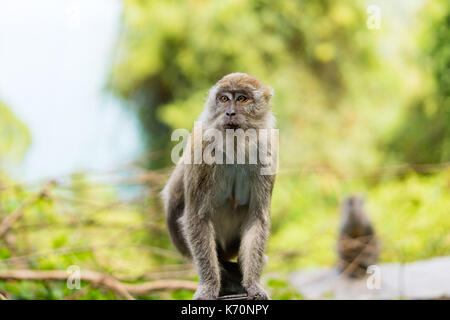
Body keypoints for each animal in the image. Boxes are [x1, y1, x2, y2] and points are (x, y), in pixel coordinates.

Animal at [160, 72, 276, 300]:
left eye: (242, 99)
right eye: (224, 98)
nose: (230, 112)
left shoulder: (266, 150)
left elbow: (257, 217)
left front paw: (253, 284)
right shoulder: (202, 149)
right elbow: (197, 217)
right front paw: (209, 286)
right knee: (173, 195)